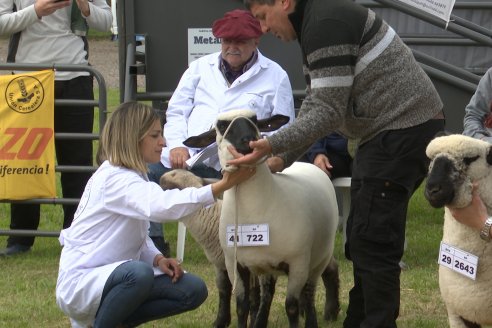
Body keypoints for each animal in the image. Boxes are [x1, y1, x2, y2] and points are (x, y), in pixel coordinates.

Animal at [183, 109, 340, 328]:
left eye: (255, 120)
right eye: (222, 126)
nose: (249, 140)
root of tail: (305, 163)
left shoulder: (298, 263)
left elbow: (291, 307)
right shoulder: (235, 264)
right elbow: (242, 306)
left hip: (318, 258)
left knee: (309, 293)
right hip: (267, 265)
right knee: (268, 294)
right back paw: (260, 321)